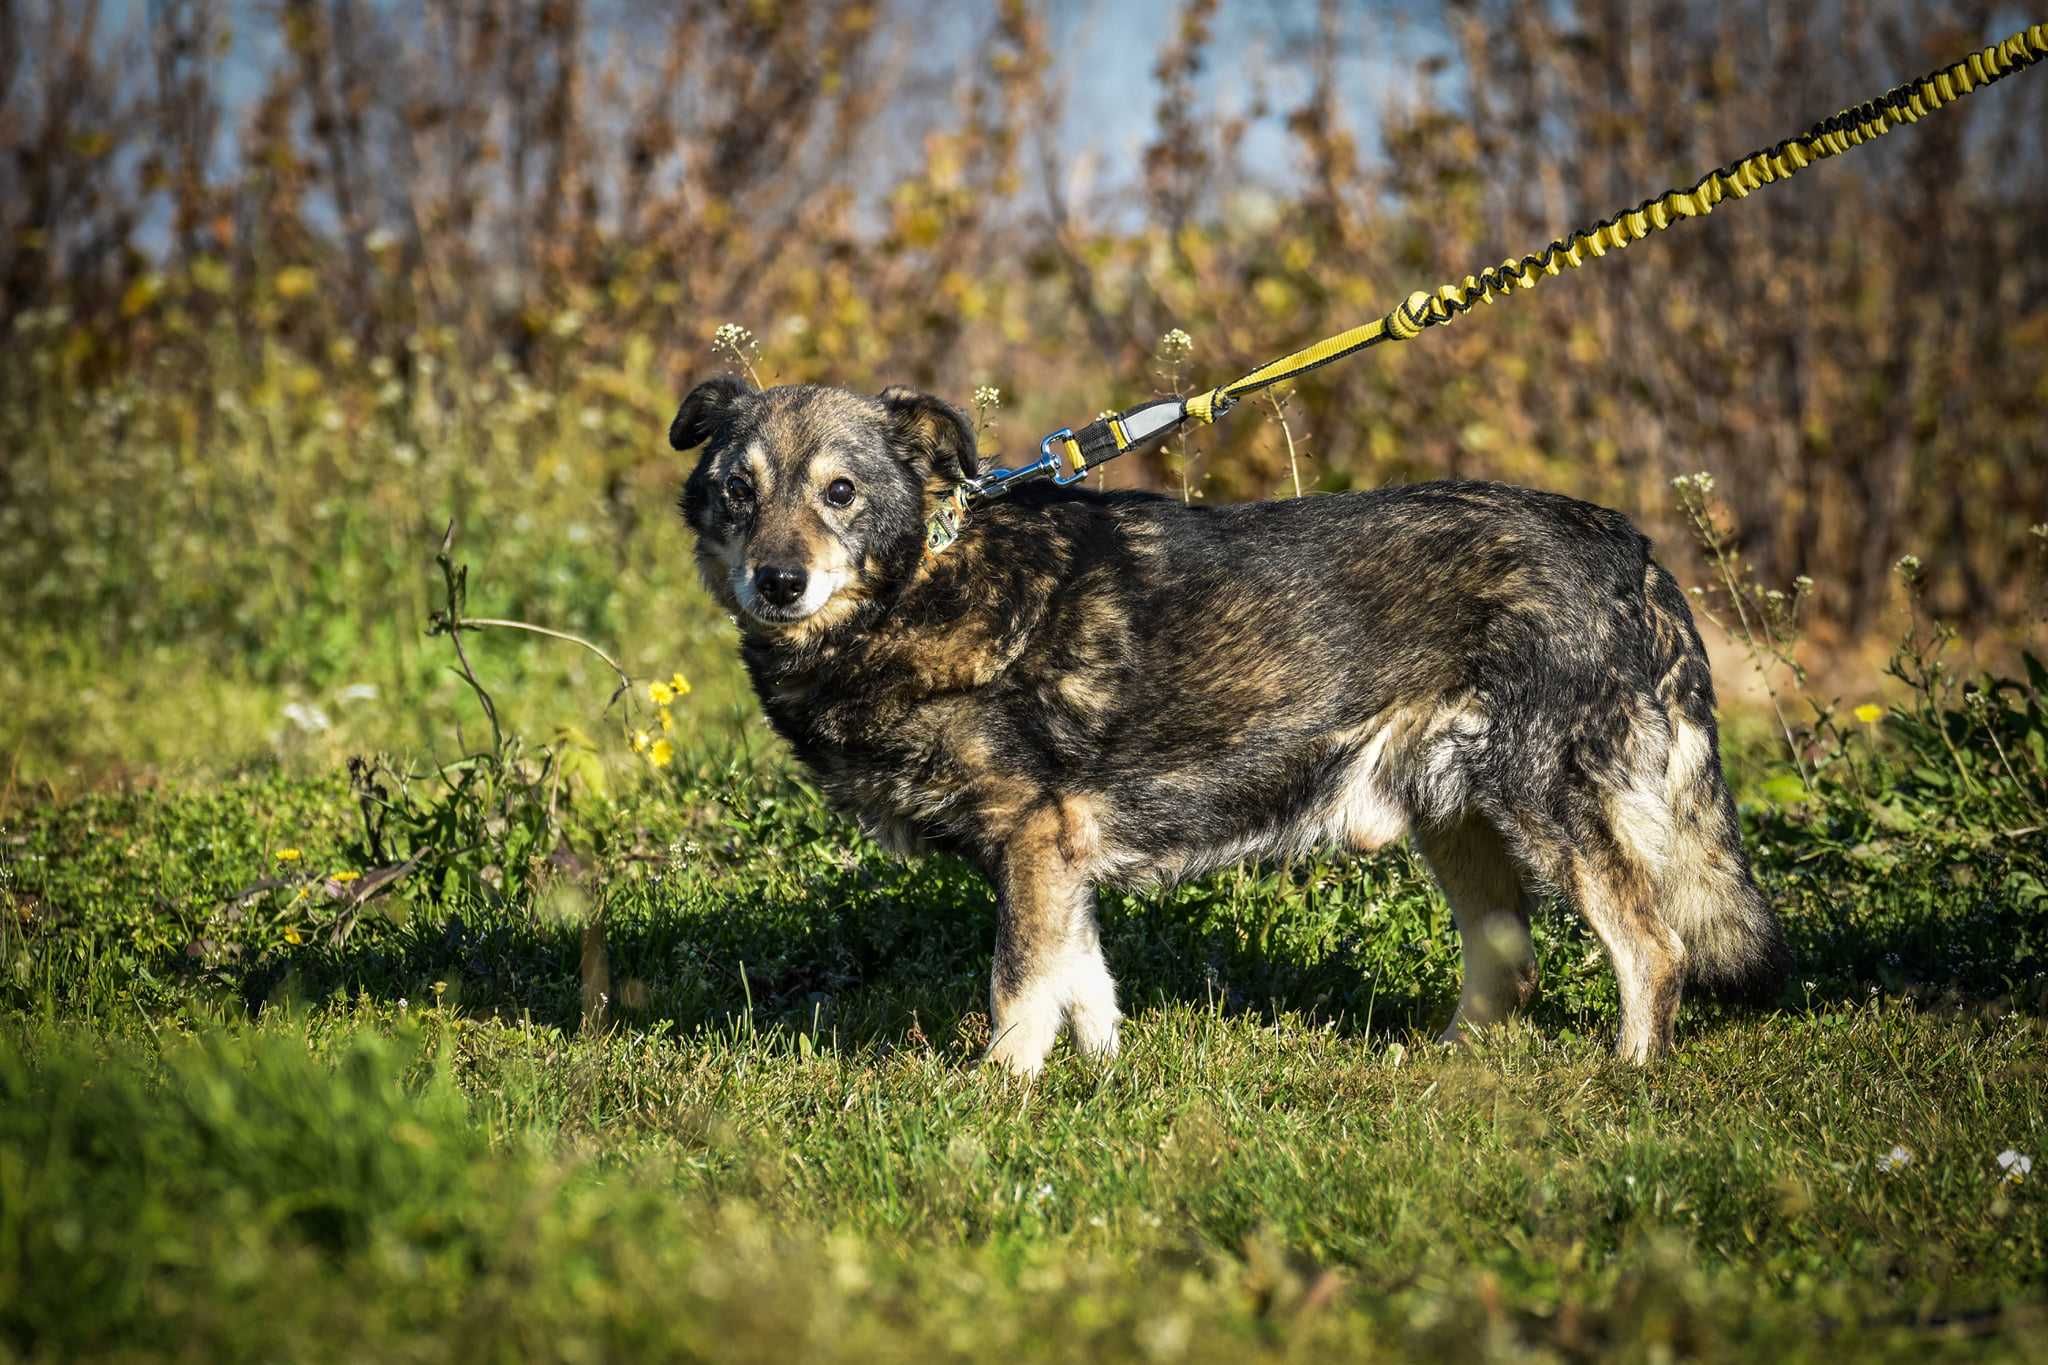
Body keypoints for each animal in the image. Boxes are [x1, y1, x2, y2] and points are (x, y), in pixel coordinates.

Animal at [667, 378, 1777, 1072]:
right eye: (738, 489)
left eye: (840, 493)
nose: (778, 580)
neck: (923, 580)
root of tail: (1630, 547)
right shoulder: (1059, 859)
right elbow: (1083, 985)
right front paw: (1099, 1080)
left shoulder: (1033, 843)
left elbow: (1019, 986)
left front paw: (997, 1094)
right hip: (1457, 821)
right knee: (1512, 967)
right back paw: (1446, 1067)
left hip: (1549, 810)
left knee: (1653, 948)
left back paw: (1624, 1073)